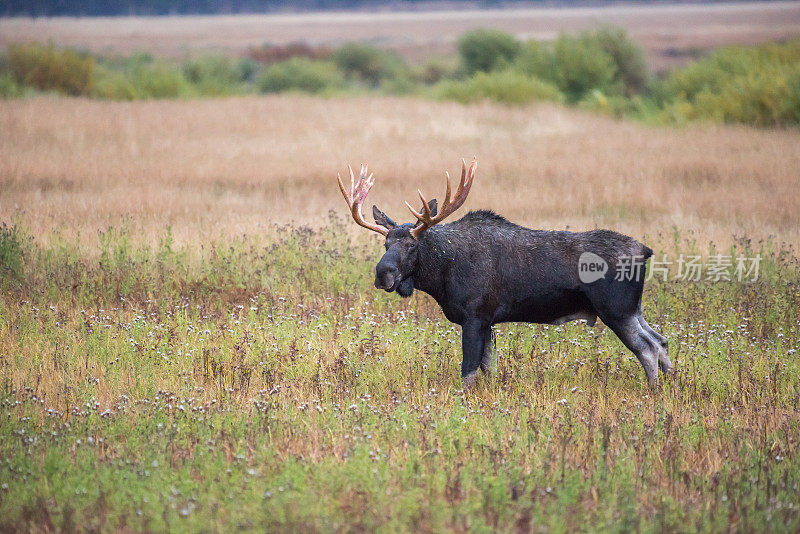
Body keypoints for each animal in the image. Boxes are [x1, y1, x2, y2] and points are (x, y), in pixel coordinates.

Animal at [334, 159, 672, 390]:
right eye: (385, 243)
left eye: (412, 245)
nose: (383, 274)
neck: (441, 276)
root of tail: (646, 250)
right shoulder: (488, 321)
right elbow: (488, 368)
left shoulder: (475, 316)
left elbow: (468, 372)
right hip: (632, 309)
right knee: (662, 340)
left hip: (615, 309)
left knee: (648, 347)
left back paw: (654, 392)